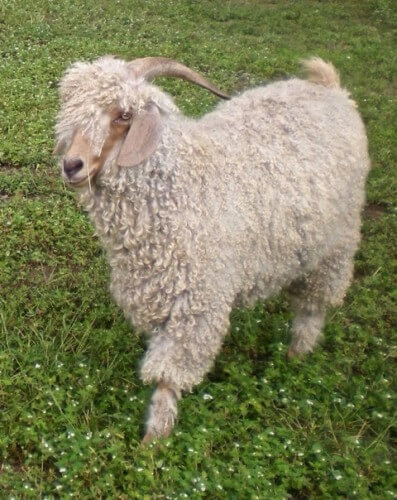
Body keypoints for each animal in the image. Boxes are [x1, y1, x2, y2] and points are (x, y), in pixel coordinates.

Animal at [55, 55, 368, 442]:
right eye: (70, 108)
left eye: (124, 115)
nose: (72, 165)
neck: (181, 188)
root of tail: (330, 88)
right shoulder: (159, 294)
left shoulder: (197, 304)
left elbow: (168, 374)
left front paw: (153, 441)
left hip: (338, 240)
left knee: (314, 303)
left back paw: (297, 353)